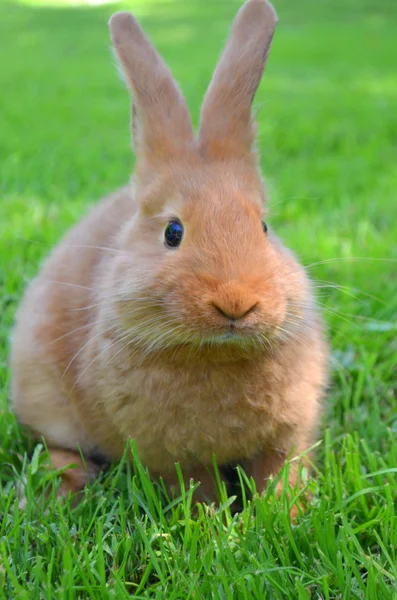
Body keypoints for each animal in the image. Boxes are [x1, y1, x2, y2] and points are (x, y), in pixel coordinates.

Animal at [11, 0, 328, 516]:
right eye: (172, 233)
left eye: (264, 227)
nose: (236, 303)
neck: (217, 353)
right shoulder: (168, 456)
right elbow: (196, 487)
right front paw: (215, 522)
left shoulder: (289, 436)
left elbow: (282, 472)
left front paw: (287, 515)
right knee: (57, 446)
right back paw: (60, 488)